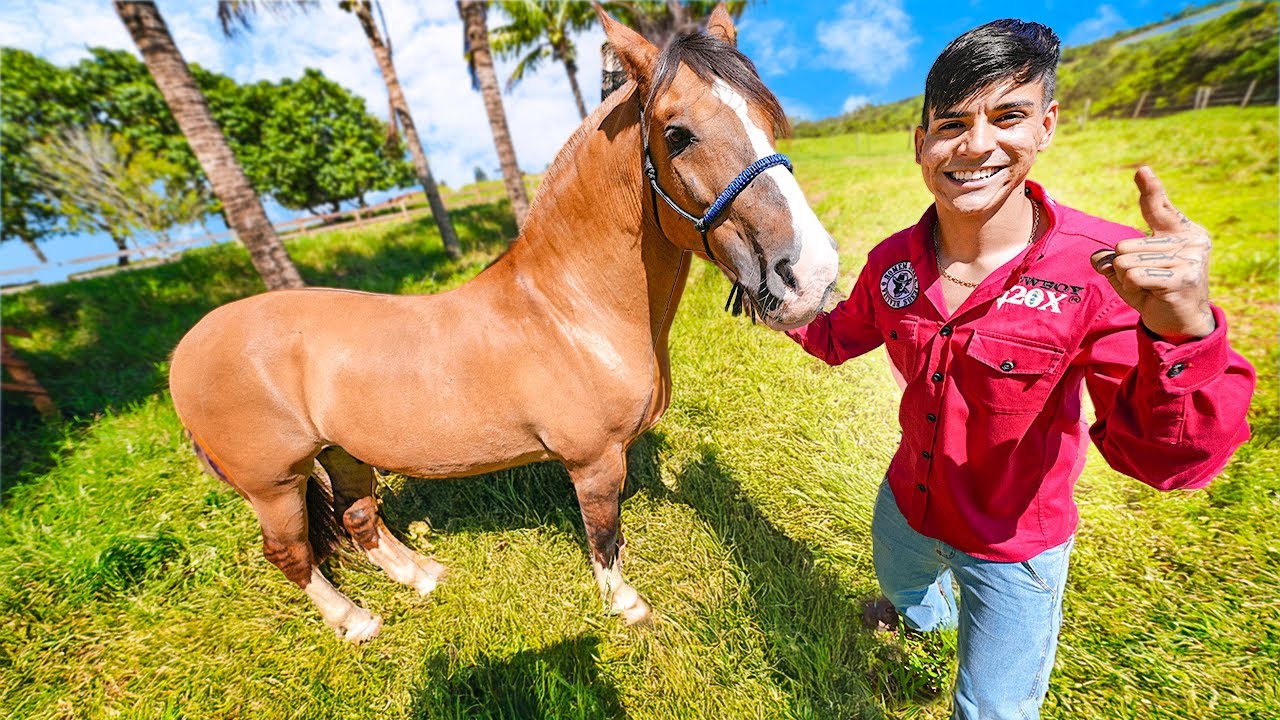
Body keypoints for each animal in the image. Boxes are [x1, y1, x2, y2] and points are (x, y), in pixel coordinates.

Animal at [168, 4, 839, 643]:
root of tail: (186, 350)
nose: (812, 275)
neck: (570, 308)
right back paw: (353, 620)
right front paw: (626, 607)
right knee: (290, 553)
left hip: (343, 453)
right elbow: (604, 536)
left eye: (768, 117)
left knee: (359, 518)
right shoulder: (593, 461)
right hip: (274, 485)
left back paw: (425, 577)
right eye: (676, 134)